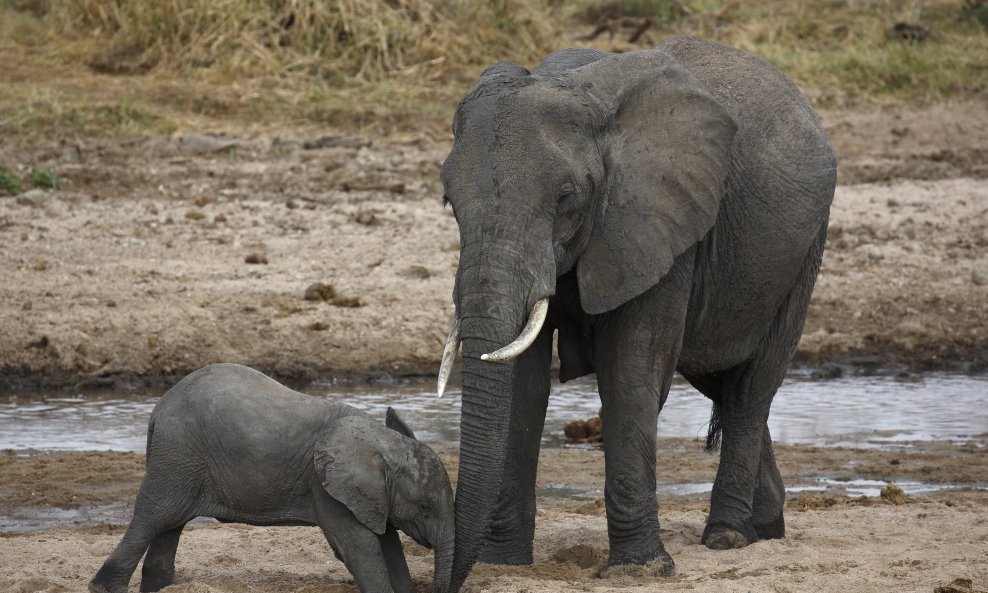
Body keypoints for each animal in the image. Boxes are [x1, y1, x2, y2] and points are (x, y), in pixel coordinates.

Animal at [89, 360, 456, 592]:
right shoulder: (325, 488)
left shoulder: (371, 496)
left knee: (169, 526)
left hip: (180, 462)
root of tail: (158, 410)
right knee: (153, 518)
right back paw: (105, 587)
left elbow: (389, 545)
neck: (380, 442)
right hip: (177, 456)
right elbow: (359, 549)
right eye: (424, 508)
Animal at [438, 34, 832, 588]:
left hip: (802, 253)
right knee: (717, 377)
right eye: (449, 201)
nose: (446, 580)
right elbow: (521, 384)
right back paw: (765, 528)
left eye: (565, 197)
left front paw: (640, 569)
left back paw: (728, 536)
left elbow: (630, 371)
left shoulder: (658, 219)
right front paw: (503, 563)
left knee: (750, 388)